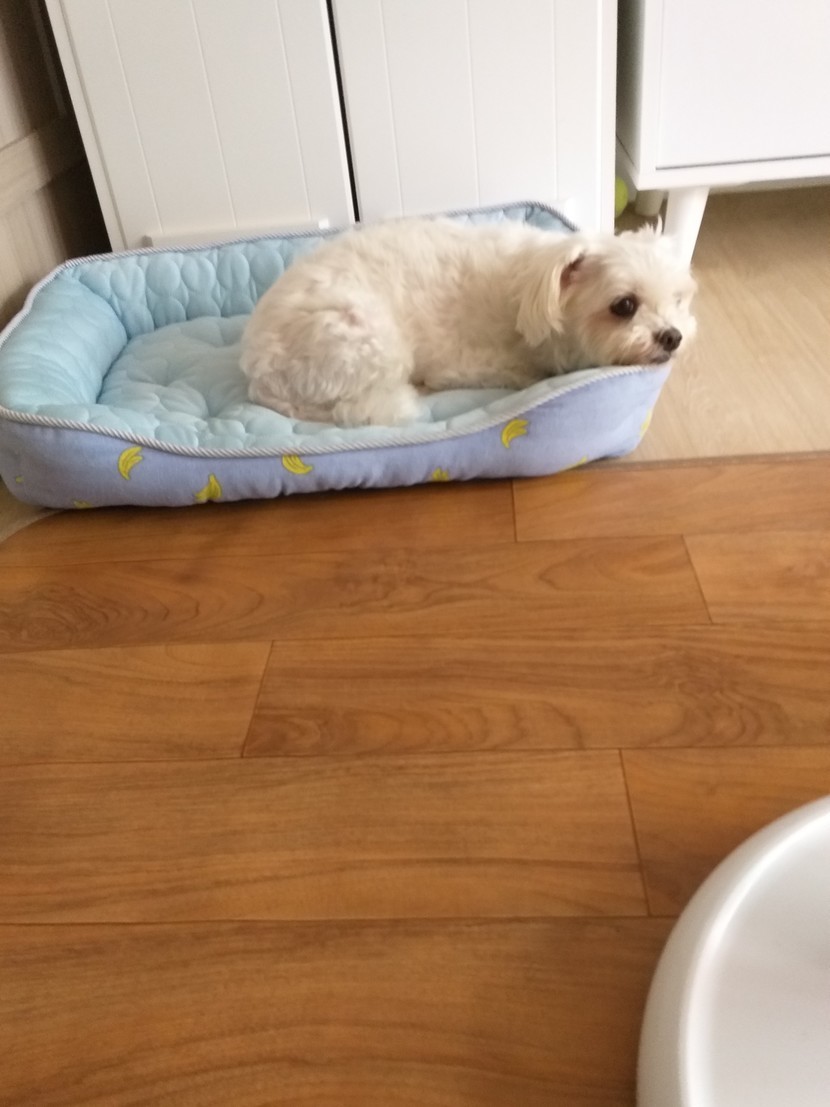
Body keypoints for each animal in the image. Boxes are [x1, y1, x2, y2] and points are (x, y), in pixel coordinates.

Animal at [240, 218, 696, 427]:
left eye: (678, 299)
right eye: (624, 305)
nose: (672, 336)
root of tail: (258, 369)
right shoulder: (475, 362)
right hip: (368, 336)